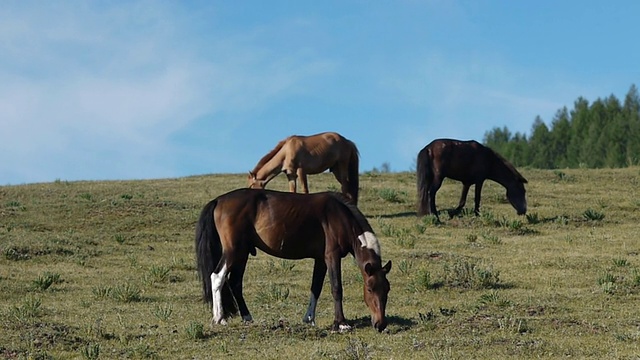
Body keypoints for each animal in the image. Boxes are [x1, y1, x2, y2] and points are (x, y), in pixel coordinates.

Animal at [195, 188, 392, 332]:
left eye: (387, 289)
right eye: (369, 289)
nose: (381, 324)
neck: (340, 216)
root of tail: (218, 200)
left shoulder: (321, 260)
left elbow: (316, 288)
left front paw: (309, 319)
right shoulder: (332, 256)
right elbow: (336, 288)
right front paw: (341, 323)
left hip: (242, 253)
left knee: (235, 283)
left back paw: (247, 318)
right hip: (233, 251)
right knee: (217, 277)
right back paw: (219, 318)